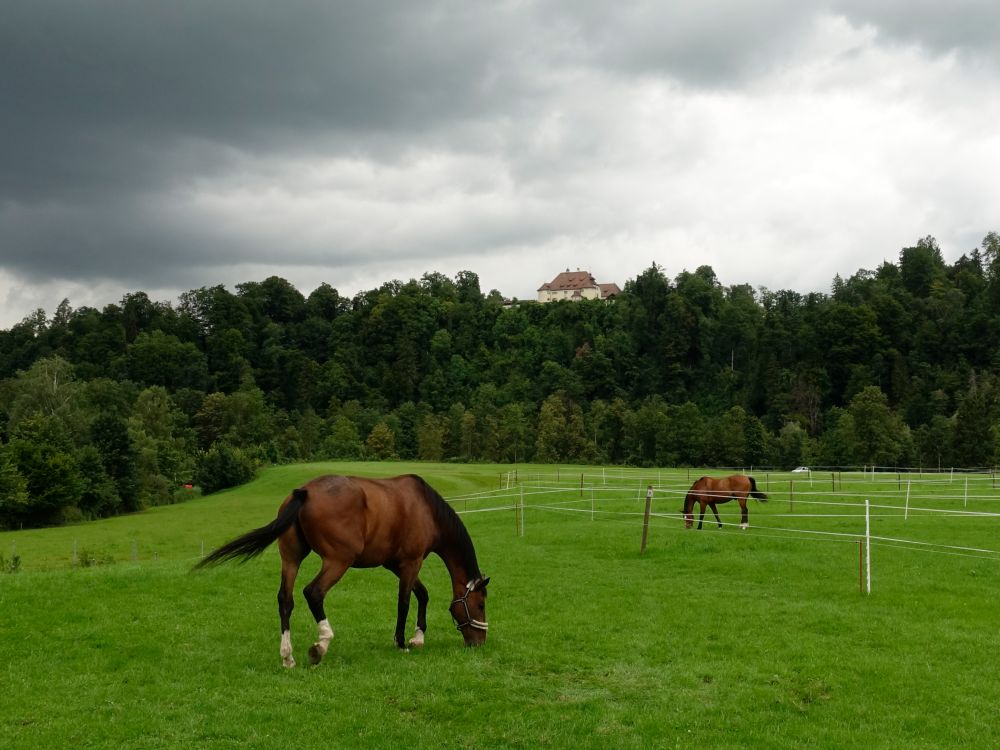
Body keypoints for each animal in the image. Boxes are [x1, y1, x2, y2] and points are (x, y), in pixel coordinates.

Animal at [194, 476, 488, 668]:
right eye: (481, 604)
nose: (480, 642)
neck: (425, 507)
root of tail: (304, 492)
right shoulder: (411, 562)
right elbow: (404, 601)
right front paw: (402, 642)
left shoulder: (395, 564)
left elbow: (422, 595)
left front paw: (418, 638)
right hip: (338, 561)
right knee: (313, 593)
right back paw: (320, 645)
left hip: (291, 559)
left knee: (285, 600)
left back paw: (288, 656)